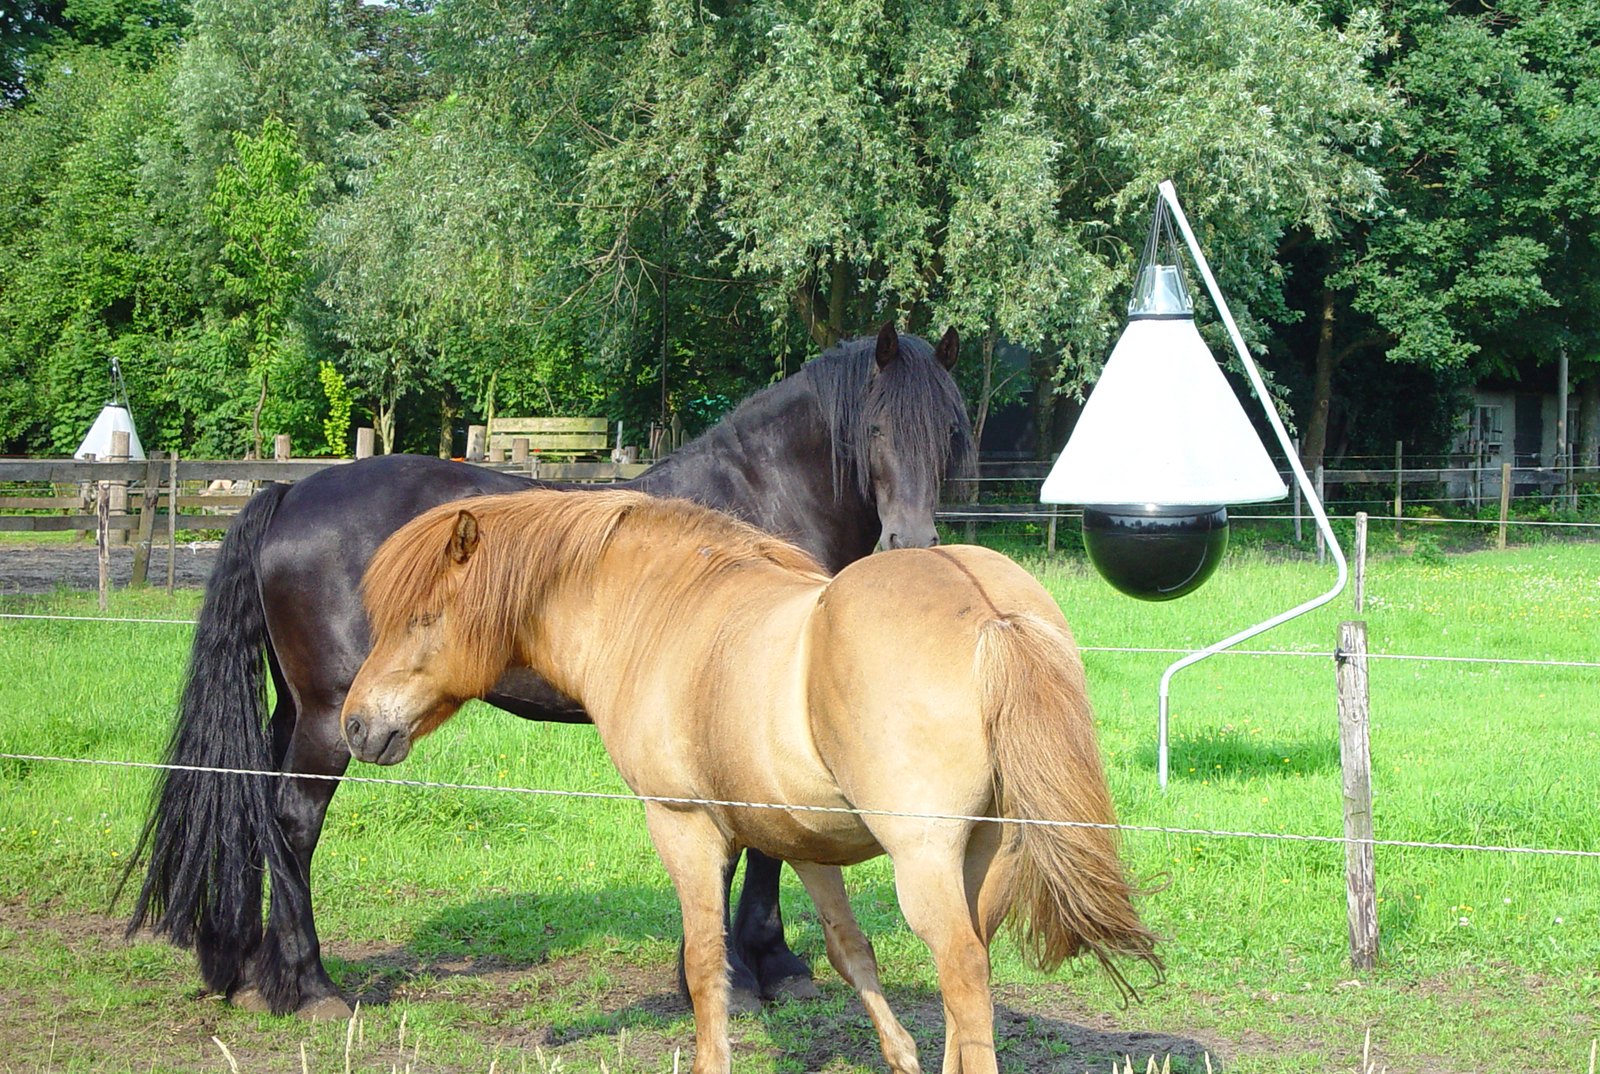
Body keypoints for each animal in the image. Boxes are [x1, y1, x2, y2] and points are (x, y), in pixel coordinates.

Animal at [123, 324, 974, 1020]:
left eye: (952, 433)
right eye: (875, 426)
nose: (910, 543)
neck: (760, 505)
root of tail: (290, 490)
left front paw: (771, 965)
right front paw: (746, 973)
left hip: (294, 710)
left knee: (253, 809)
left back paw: (247, 971)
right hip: (334, 716)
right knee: (294, 823)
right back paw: (310, 987)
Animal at [343, 489, 1161, 1074]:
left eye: (423, 617)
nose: (355, 725)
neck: (659, 615)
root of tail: (994, 611)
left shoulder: (683, 826)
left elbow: (707, 967)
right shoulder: (804, 845)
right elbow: (849, 951)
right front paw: (898, 1053)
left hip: (925, 861)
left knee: (961, 972)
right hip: (985, 856)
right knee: (972, 977)